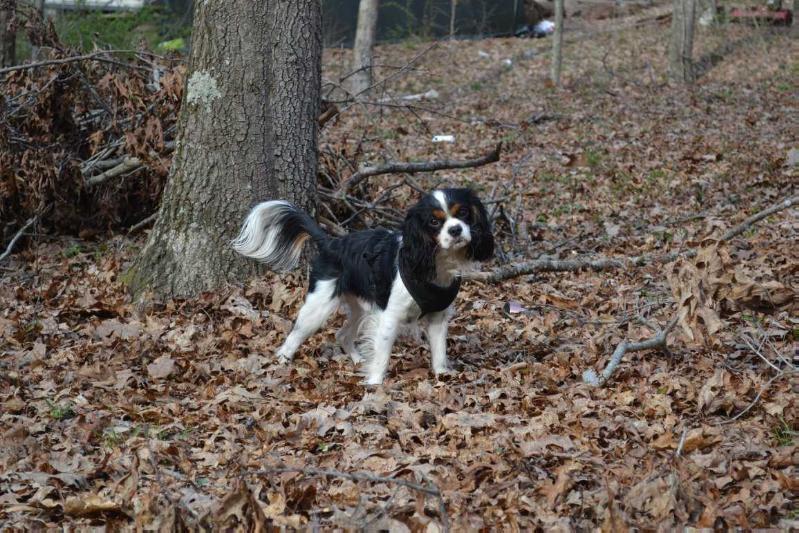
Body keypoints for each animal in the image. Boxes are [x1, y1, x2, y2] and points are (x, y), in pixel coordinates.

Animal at [231, 187, 494, 382]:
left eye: (463, 213)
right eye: (433, 221)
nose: (456, 229)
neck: (433, 262)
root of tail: (330, 243)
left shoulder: (438, 317)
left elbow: (439, 351)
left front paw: (441, 375)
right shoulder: (390, 316)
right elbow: (382, 356)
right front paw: (375, 386)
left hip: (361, 308)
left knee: (342, 334)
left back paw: (357, 359)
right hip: (319, 306)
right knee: (295, 334)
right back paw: (282, 361)